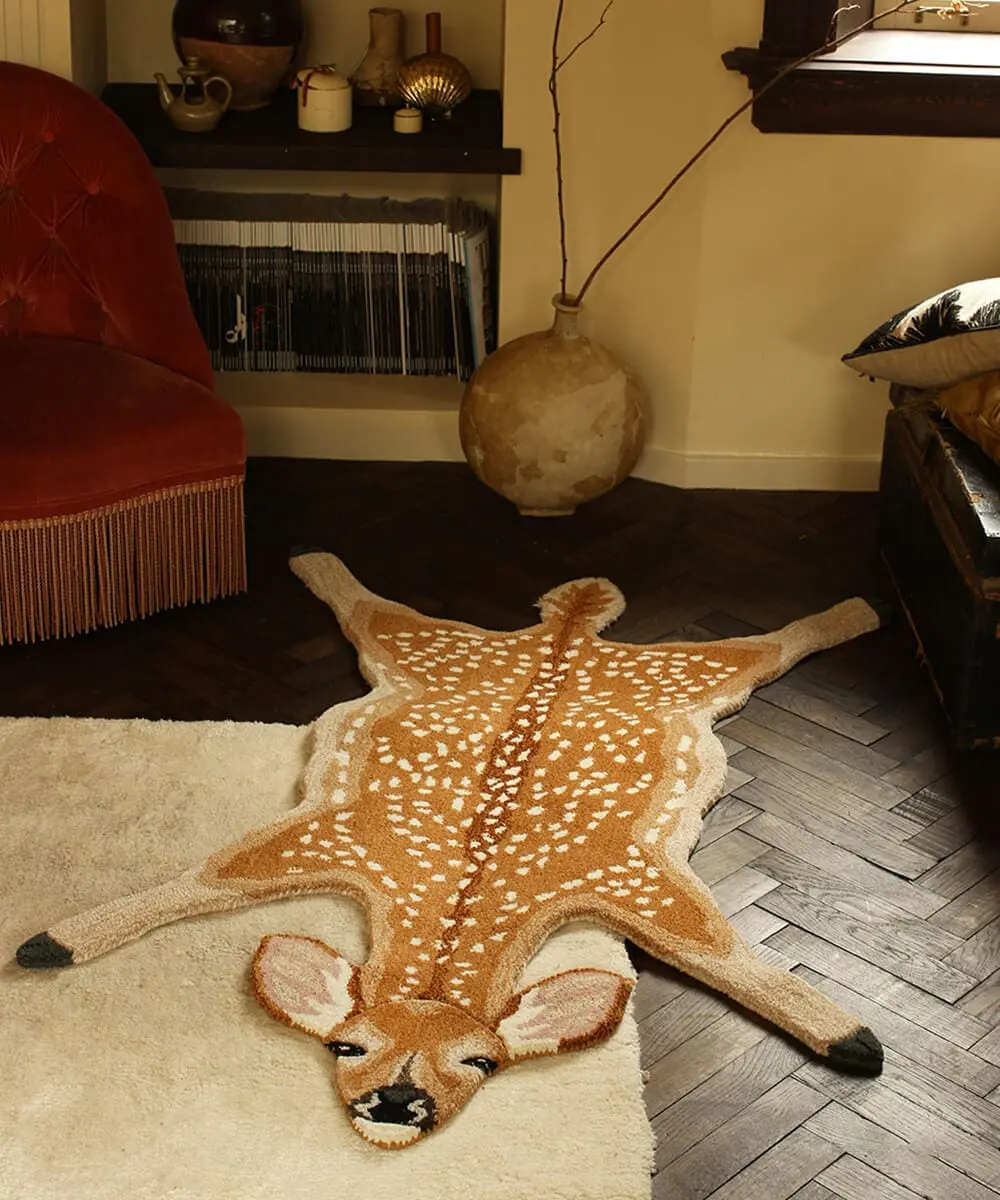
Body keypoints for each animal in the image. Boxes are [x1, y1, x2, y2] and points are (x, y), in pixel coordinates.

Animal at [16, 551, 885, 1149]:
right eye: (346, 1045)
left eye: (483, 1064)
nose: (398, 1105)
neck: (460, 897)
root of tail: (566, 633)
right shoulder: (323, 833)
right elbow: (196, 881)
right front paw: (52, 939)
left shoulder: (634, 879)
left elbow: (731, 959)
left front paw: (851, 1037)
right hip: (436, 647)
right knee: (370, 606)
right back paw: (313, 559)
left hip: (689, 673)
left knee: (769, 642)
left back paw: (859, 610)